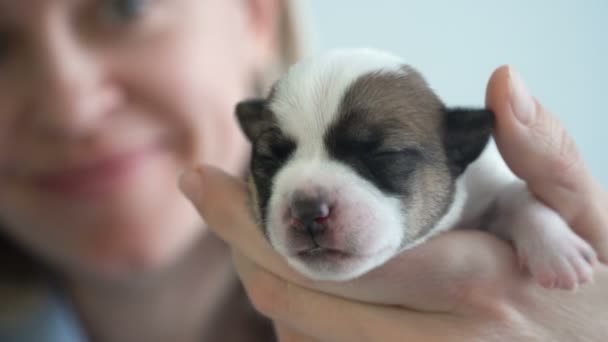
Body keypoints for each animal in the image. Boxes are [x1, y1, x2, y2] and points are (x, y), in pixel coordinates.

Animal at [235, 47, 596, 288]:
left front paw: (557, 249)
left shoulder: (486, 181)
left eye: (385, 155)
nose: (308, 210)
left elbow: (515, 195)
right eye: (270, 158)